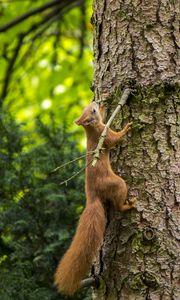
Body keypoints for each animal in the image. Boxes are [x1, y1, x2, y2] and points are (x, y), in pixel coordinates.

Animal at [54, 101, 136, 296]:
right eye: (92, 111)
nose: (96, 102)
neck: (91, 130)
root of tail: (92, 197)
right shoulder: (103, 134)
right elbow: (114, 139)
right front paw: (126, 128)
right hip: (117, 184)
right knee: (119, 204)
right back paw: (128, 206)